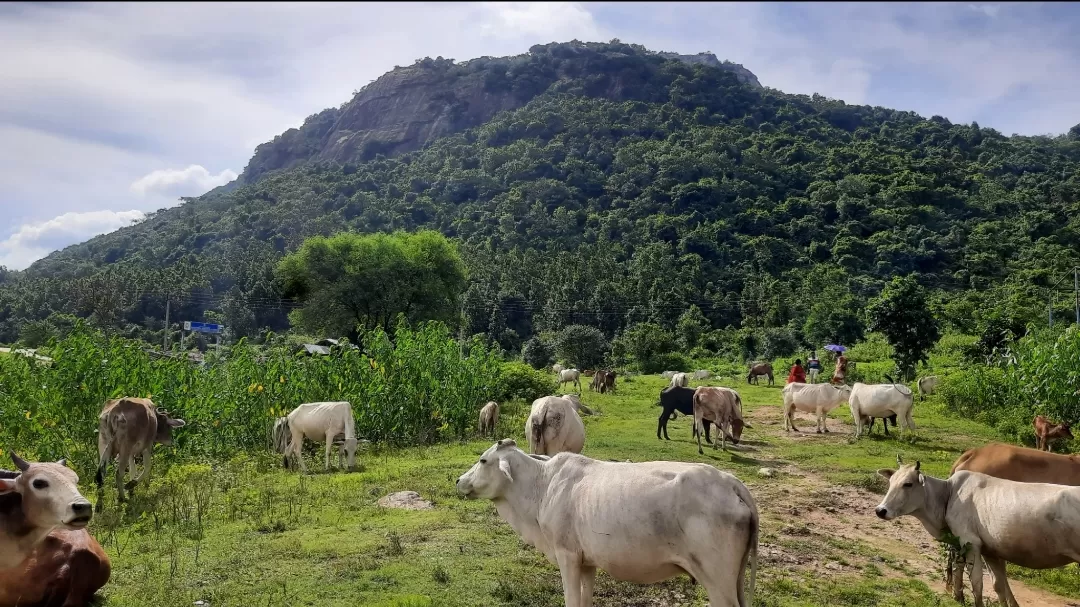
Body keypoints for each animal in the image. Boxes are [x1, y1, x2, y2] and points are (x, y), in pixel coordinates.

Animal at [455, 436, 760, 604]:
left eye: (483, 461)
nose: (459, 481)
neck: (542, 486)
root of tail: (730, 482)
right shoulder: (587, 562)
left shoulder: (567, 556)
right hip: (734, 580)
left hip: (717, 581)